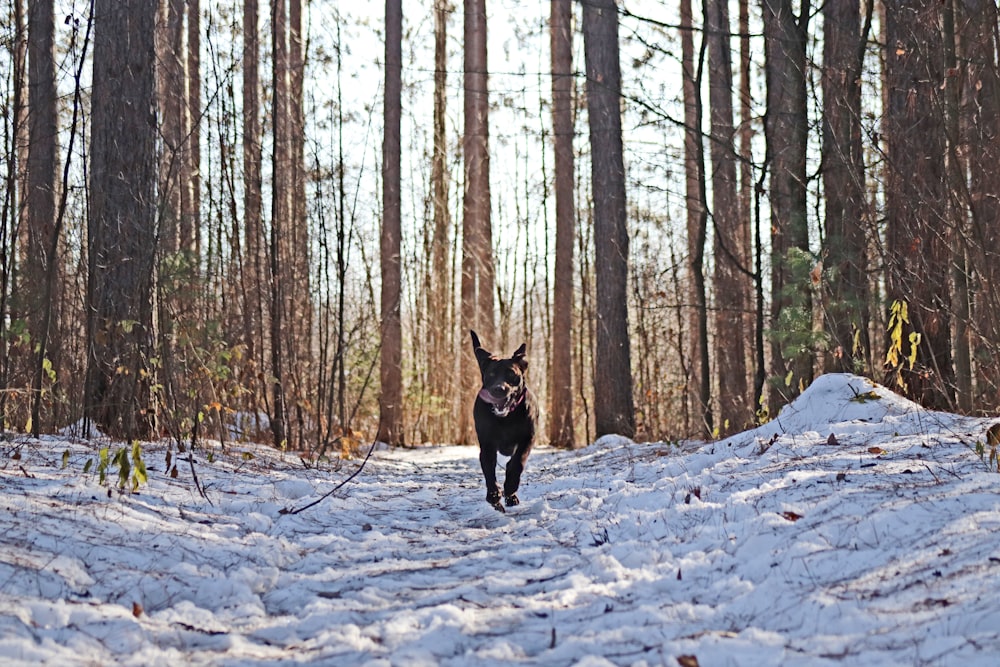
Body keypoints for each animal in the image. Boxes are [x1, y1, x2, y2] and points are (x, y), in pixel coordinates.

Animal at [470, 332, 540, 516]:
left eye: (511, 374)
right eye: (491, 374)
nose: (499, 389)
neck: (506, 418)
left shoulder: (527, 438)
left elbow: (517, 463)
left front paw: (510, 489)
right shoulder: (487, 443)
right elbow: (488, 468)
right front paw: (494, 496)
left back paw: (511, 496)